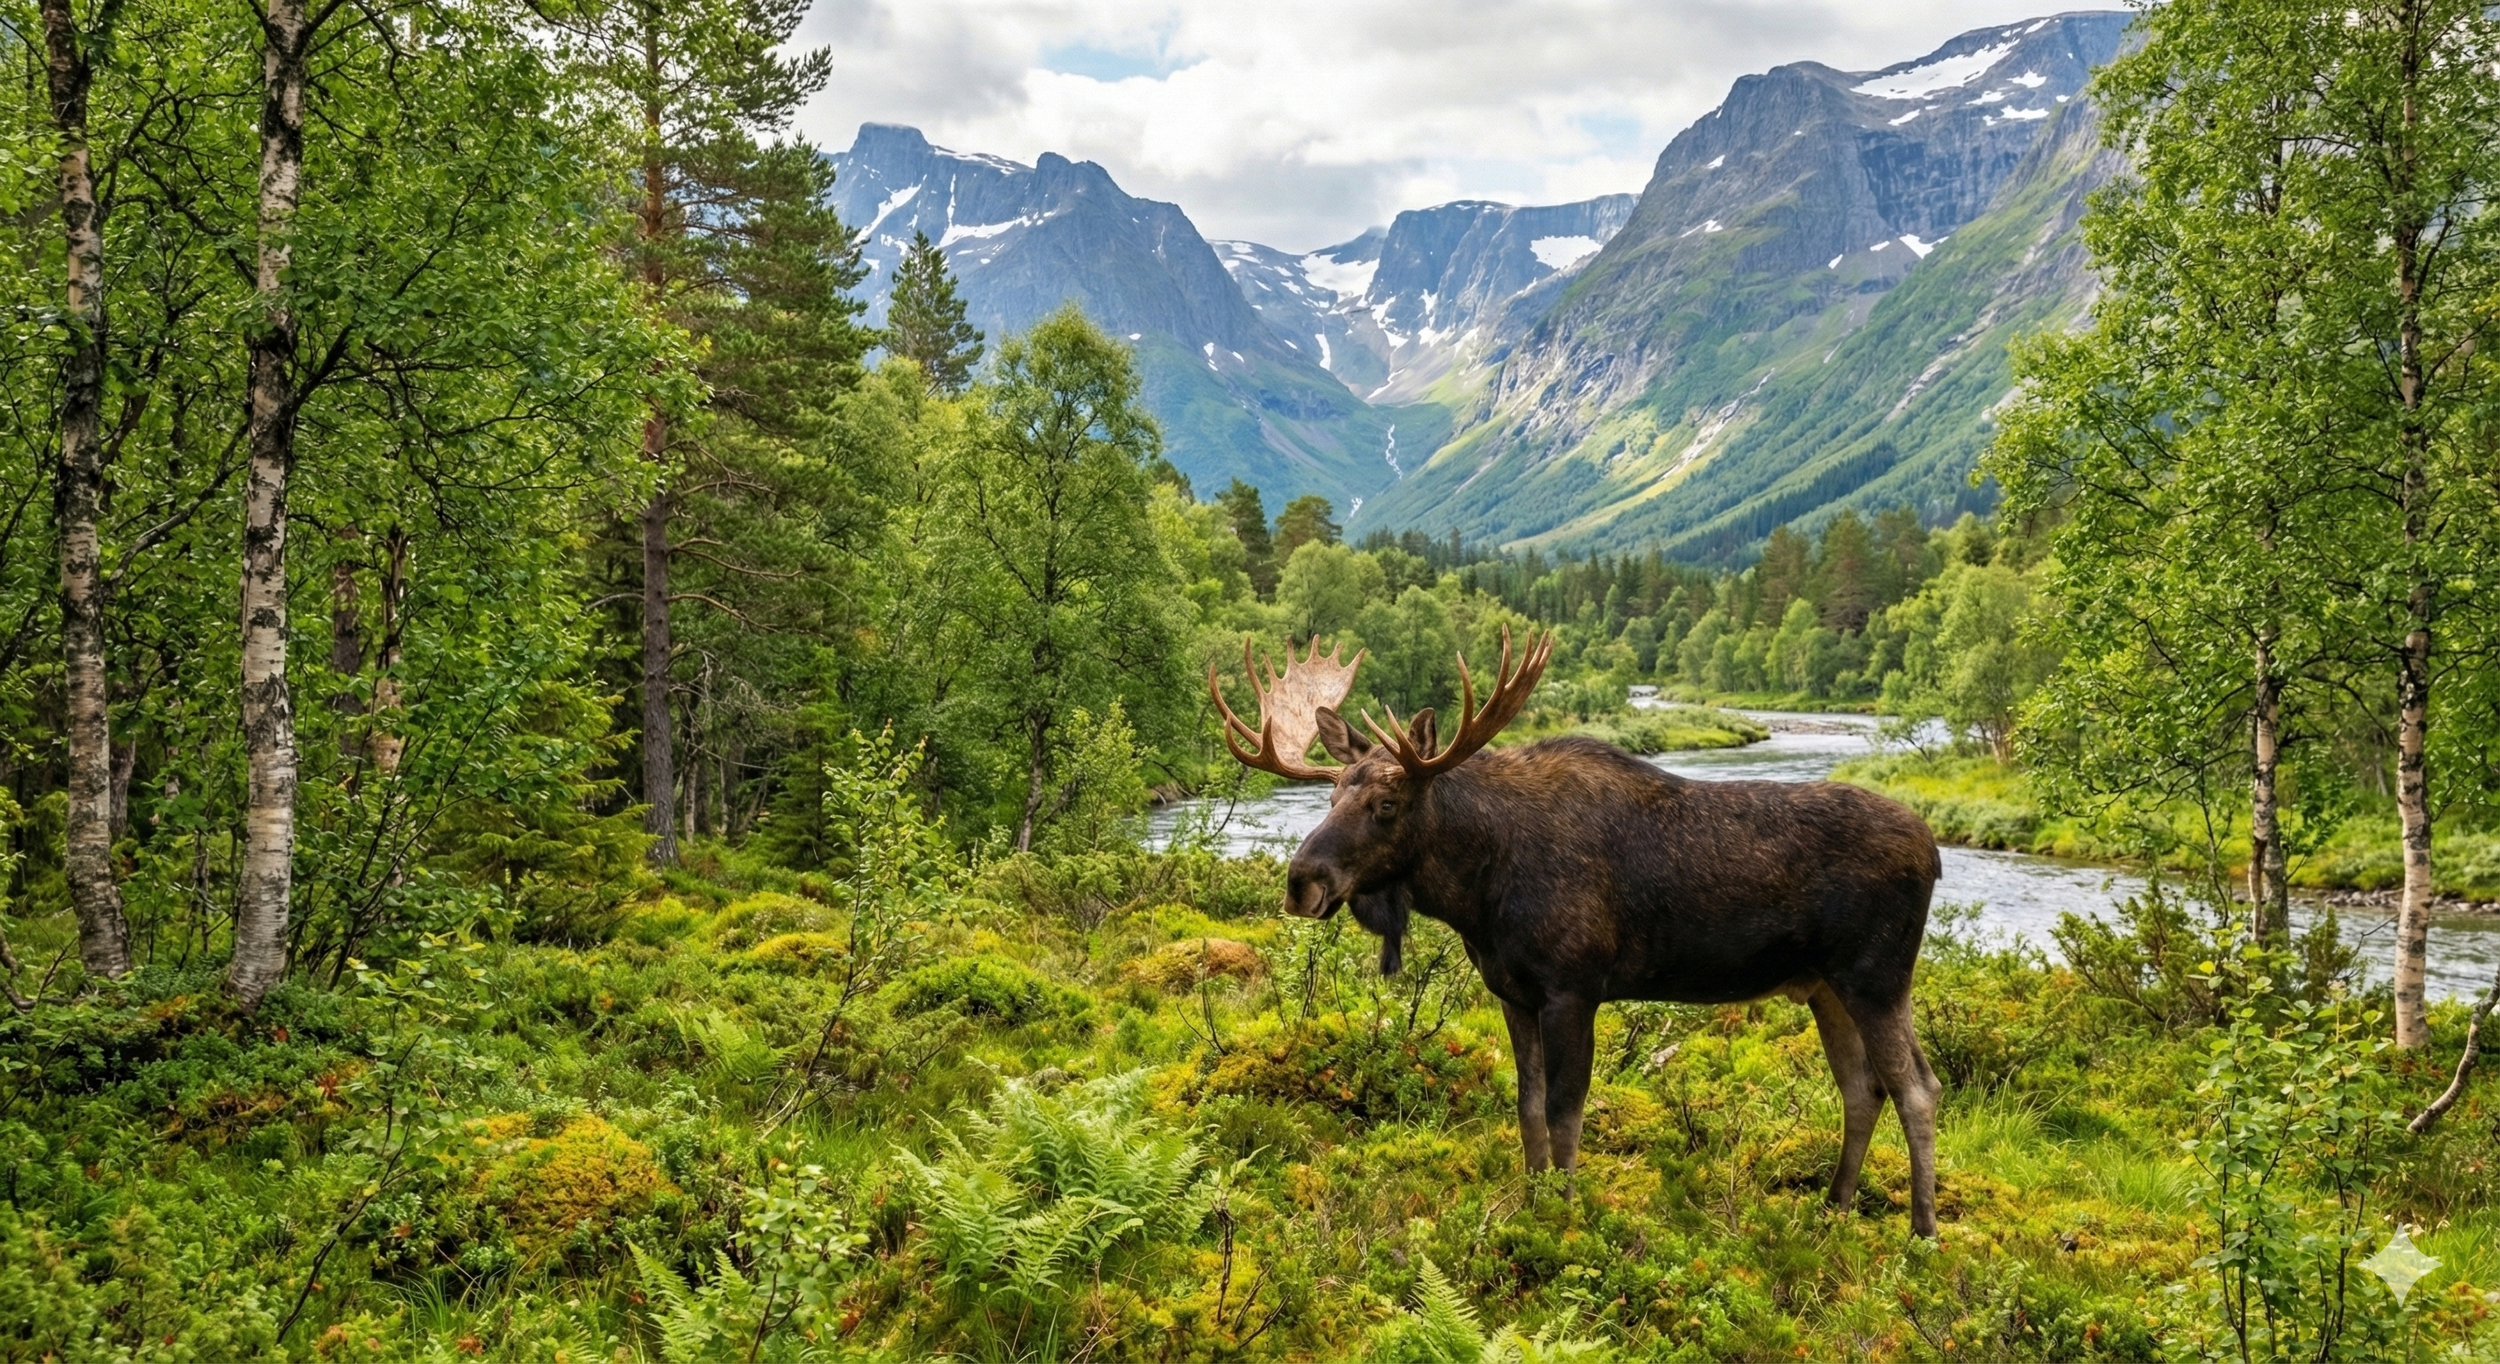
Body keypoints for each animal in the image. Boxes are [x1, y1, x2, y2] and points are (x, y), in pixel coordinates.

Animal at [1210, 631, 1946, 1236]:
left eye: (1386, 804)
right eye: (1330, 796)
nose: (1302, 881)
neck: (1478, 892)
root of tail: (1935, 851)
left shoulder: (1574, 987)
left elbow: (1566, 1111)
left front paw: (1562, 1217)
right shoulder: (1513, 992)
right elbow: (1527, 1106)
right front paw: (1530, 1203)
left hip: (1877, 977)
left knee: (1917, 1087)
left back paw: (1922, 1232)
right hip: (1825, 987)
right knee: (1863, 1090)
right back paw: (1834, 1208)